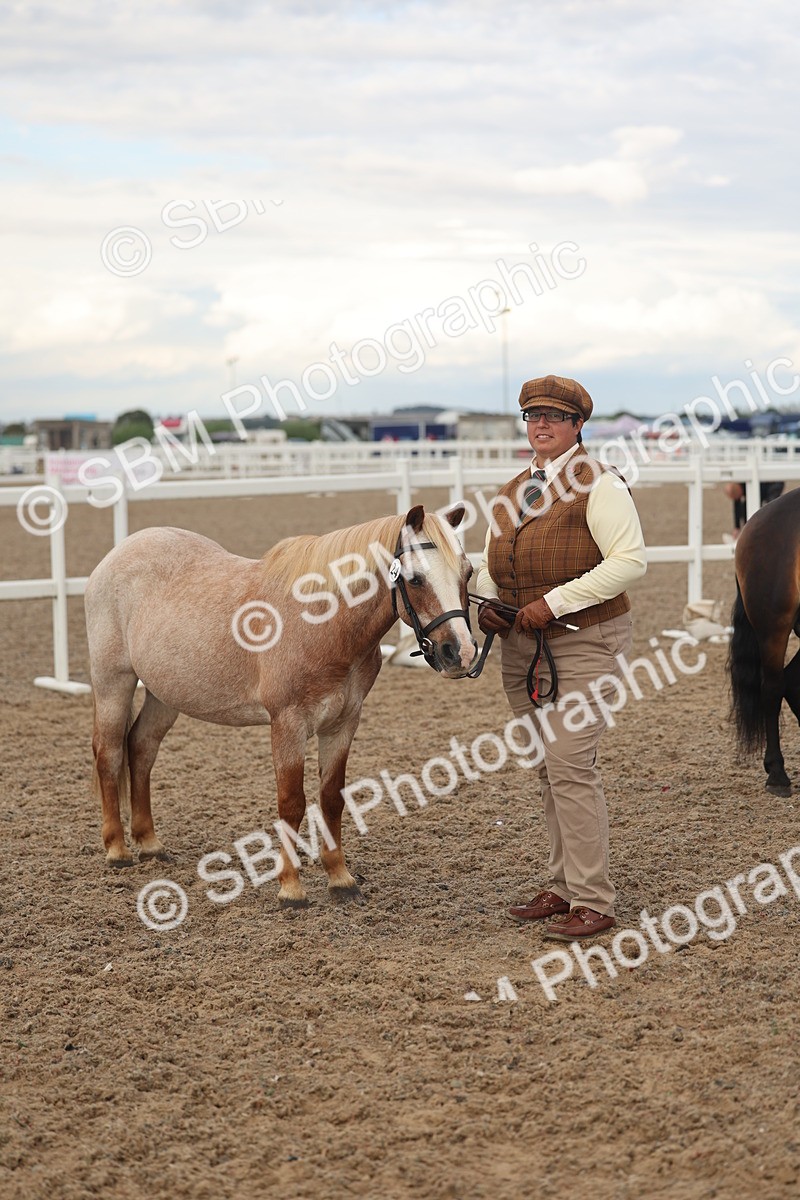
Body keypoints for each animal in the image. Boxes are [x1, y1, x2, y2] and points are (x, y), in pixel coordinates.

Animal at [85, 503, 477, 903]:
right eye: (415, 579)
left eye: (468, 573)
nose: (460, 653)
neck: (322, 623)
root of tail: (121, 551)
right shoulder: (288, 724)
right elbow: (291, 803)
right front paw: (291, 888)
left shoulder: (343, 723)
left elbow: (331, 799)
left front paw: (340, 879)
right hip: (113, 682)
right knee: (109, 753)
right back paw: (117, 850)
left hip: (165, 693)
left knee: (141, 747)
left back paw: (149, 843)